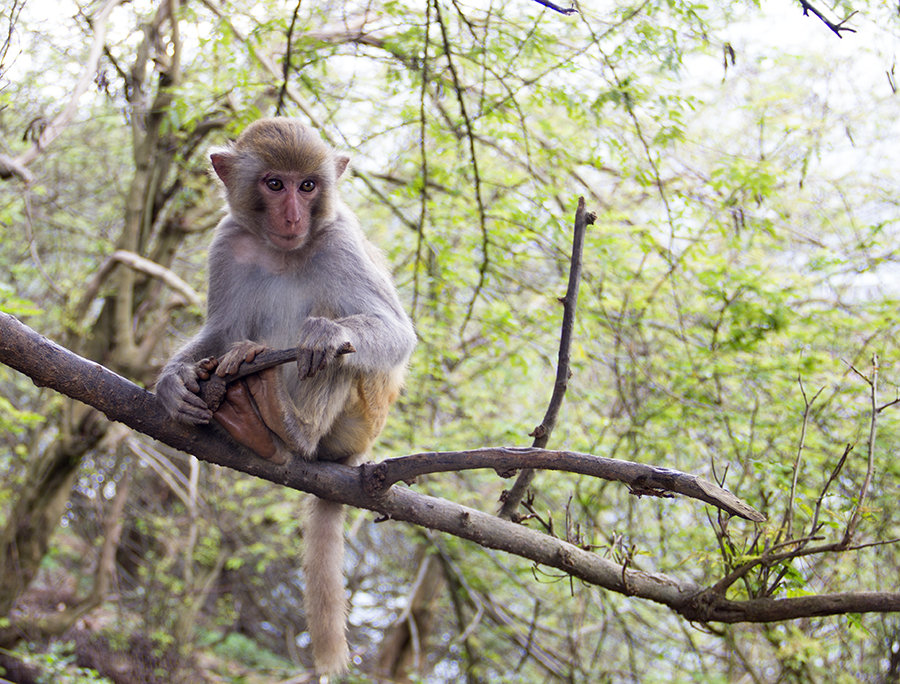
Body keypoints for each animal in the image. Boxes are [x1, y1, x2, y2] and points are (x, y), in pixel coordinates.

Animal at [156, 116, 416, 672]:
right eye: (275, 184)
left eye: (308, 185)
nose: (294, 215)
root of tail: (355, 458)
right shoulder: (226, 242)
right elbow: (220, 329)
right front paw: (171, 384)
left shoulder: (340, 239)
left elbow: (394, 333)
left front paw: (324, 335)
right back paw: (248, 413)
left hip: (361, 421)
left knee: (339, 355)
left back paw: (287, 428)